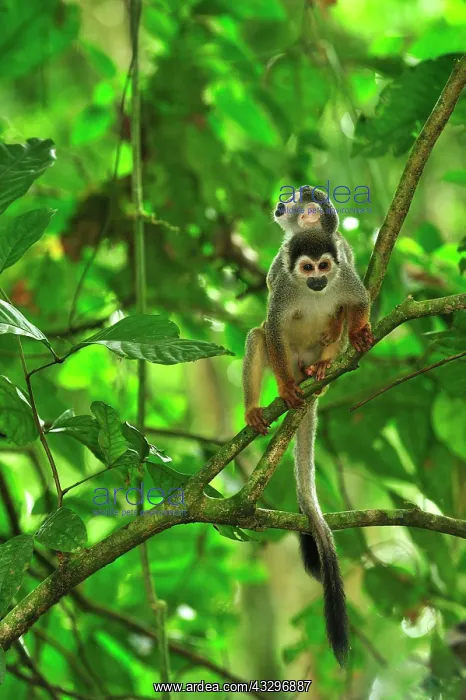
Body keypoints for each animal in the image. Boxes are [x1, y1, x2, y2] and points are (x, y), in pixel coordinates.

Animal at [242, 185, 374, 666]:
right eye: (306, 268)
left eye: (322, 267)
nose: (317, 279)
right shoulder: (283, 285)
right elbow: (274, 326)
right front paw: (281, 386)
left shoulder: (345, 274)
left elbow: (360, 299)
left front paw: (358, 328)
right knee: (260, 335)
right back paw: (263, 404)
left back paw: (328, 357)